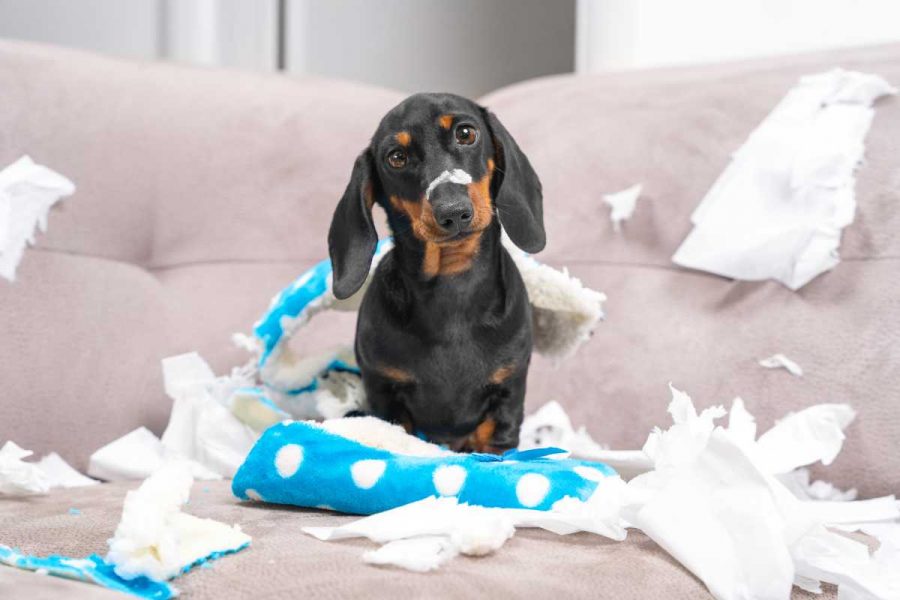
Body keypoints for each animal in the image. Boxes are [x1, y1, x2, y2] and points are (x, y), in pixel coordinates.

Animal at [328, 92, 540, 450]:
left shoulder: (507, 397)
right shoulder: (384, 393)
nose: (453, 212)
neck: (452, 287)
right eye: (396, 157)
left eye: (466, 133)